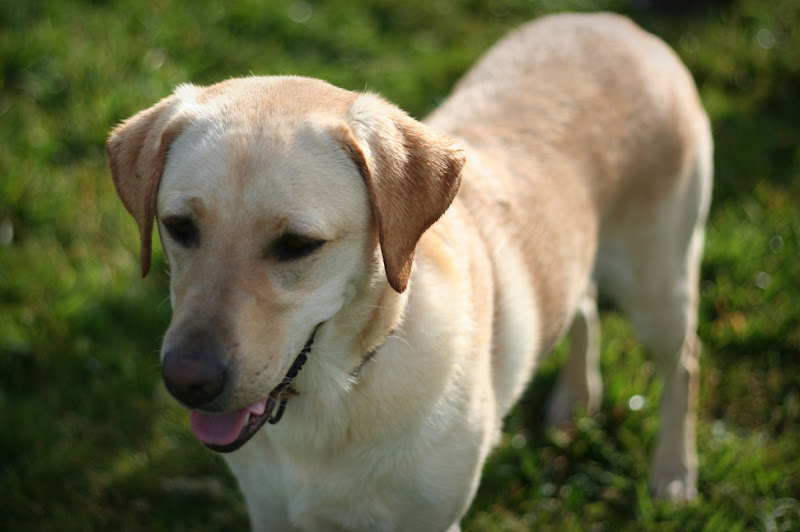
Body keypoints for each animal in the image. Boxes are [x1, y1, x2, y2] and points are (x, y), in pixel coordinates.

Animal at [108, 12, 712, 532]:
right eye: (179, 227)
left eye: (297, 245)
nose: (187, 382)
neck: (338, 394)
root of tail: (617, 23)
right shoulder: (271, 515)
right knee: (583, 302)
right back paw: (575, 398)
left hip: (657, 287)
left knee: (683, 363)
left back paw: (673, 473)